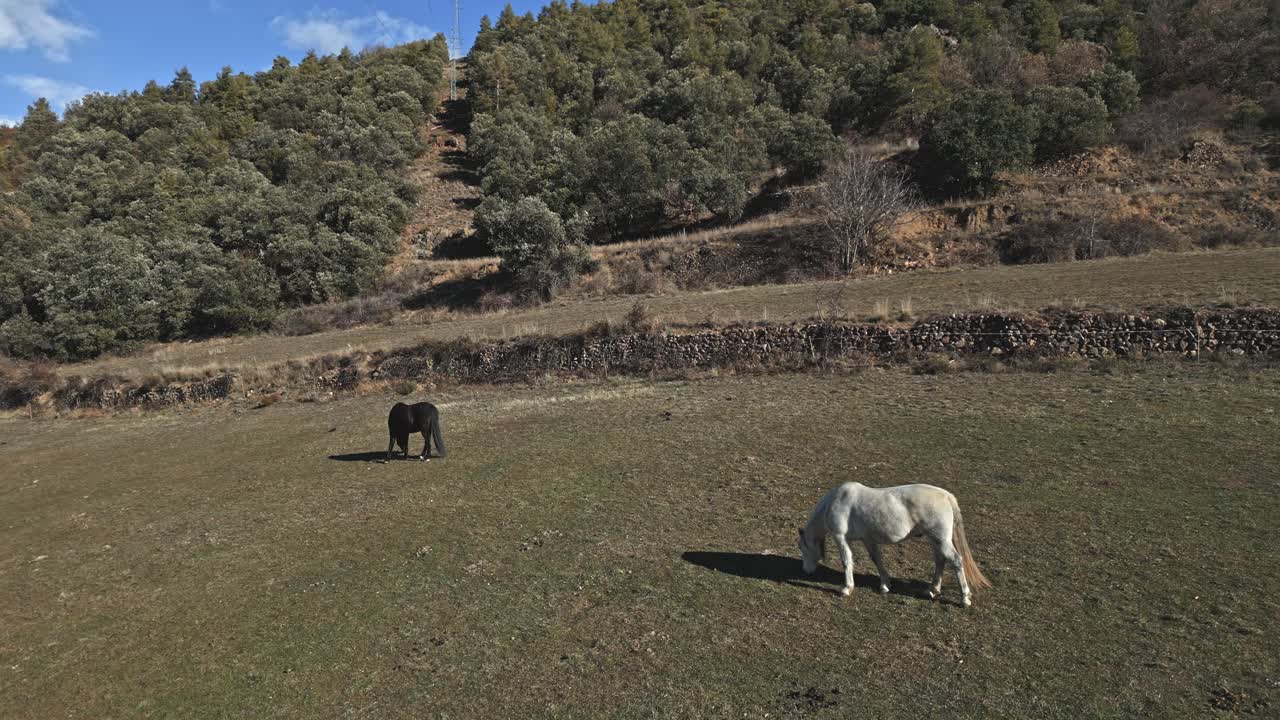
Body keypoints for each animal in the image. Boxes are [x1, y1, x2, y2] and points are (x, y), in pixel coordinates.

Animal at [797, 482, 990, 607]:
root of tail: (947, 496)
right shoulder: (868, 539)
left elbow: (846, 561)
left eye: (802, 548)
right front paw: (885, 585)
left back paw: (964, 598)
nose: (806, 571)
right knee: (940, 561)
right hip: (935, 540)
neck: (837, 501)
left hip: (941, 540)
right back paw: (932, 590)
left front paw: (846, 588)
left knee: (956, 561)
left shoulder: (840, 537)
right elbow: (876, 559)